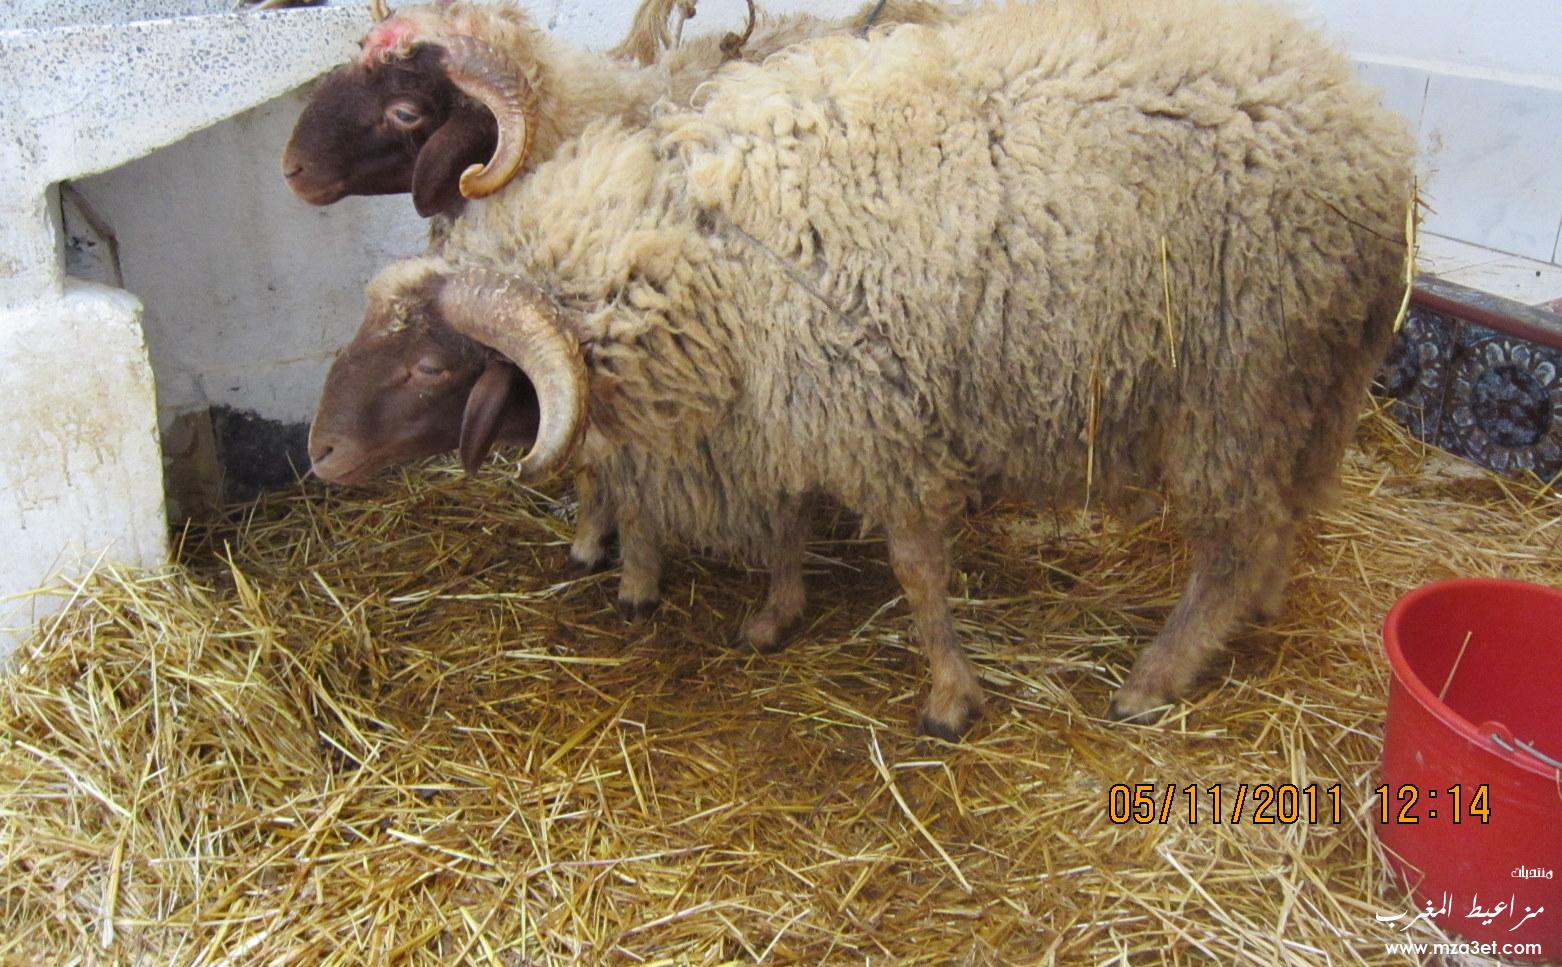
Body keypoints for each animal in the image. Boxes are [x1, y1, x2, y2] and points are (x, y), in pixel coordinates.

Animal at [305, 0, 1417, 738]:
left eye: (430, 366)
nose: (318, 454)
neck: (692, 245)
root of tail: (1374, 131)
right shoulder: (787, 400)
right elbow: (786, 517)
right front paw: (772, 614)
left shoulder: (871, 415)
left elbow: (916, 568)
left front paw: (948, 698)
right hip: (1313, 378)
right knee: (1291, 505)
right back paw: (1257, 608)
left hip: (1234, 383)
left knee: (1234, 535)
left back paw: (1155, 676)